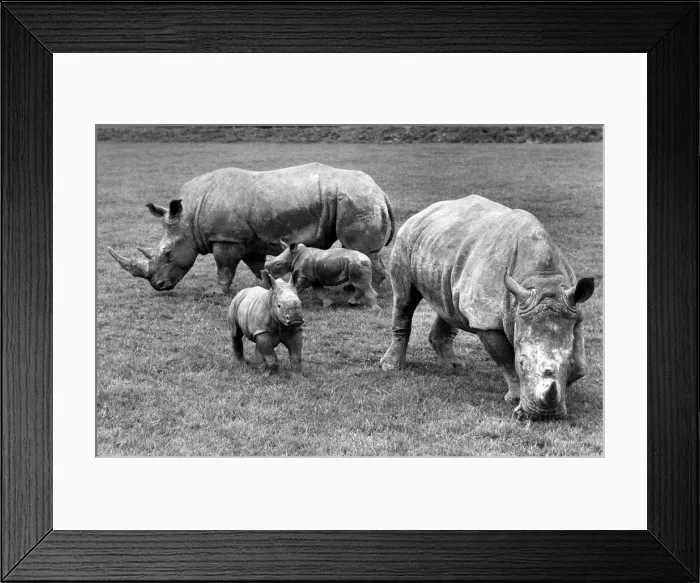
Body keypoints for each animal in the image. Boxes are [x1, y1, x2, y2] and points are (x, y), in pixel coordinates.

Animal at [108, 163, 395, 294]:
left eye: (167, 253)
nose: (158, 285)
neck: (189, 216)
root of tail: (381, 190)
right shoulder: (246, 240)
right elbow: (258, 266)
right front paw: (271, 286)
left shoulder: (226, 239)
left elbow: (224, 268)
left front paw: (216, 293)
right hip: (357, 197)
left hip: (357, 199)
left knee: (361, 250)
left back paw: (358, 291)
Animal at [380, 195, 595, 420]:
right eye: (522, 363)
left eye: (569, 362)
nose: (545, 416)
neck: (542, 282)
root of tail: (426, 211)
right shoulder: (487, 322)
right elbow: (506, 360)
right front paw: (514, 399)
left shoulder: (573, 308)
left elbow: (581, 365)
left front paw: (564, 392)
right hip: (406, 238)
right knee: (404, 299)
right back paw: (391, 367)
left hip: (444, 247)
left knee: (448, 305)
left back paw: (454, 367)